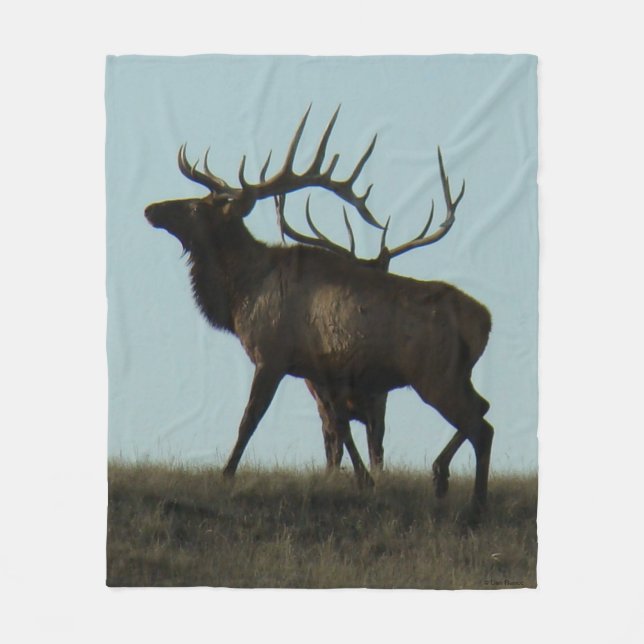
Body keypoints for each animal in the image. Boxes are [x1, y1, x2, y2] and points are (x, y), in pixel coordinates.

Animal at [144, 106, 493, 511]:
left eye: (196, 206)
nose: (151, 209)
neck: (241, 294)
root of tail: (485, 320)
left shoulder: (272, 355)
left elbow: (250, 419)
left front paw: (226, 474)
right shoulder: (322, 370)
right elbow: (338, 429)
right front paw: (362, 481)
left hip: (434, 374)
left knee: (480, 424)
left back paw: (466, 496)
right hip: (455, 375)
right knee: (482, 412)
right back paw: (450, 483)